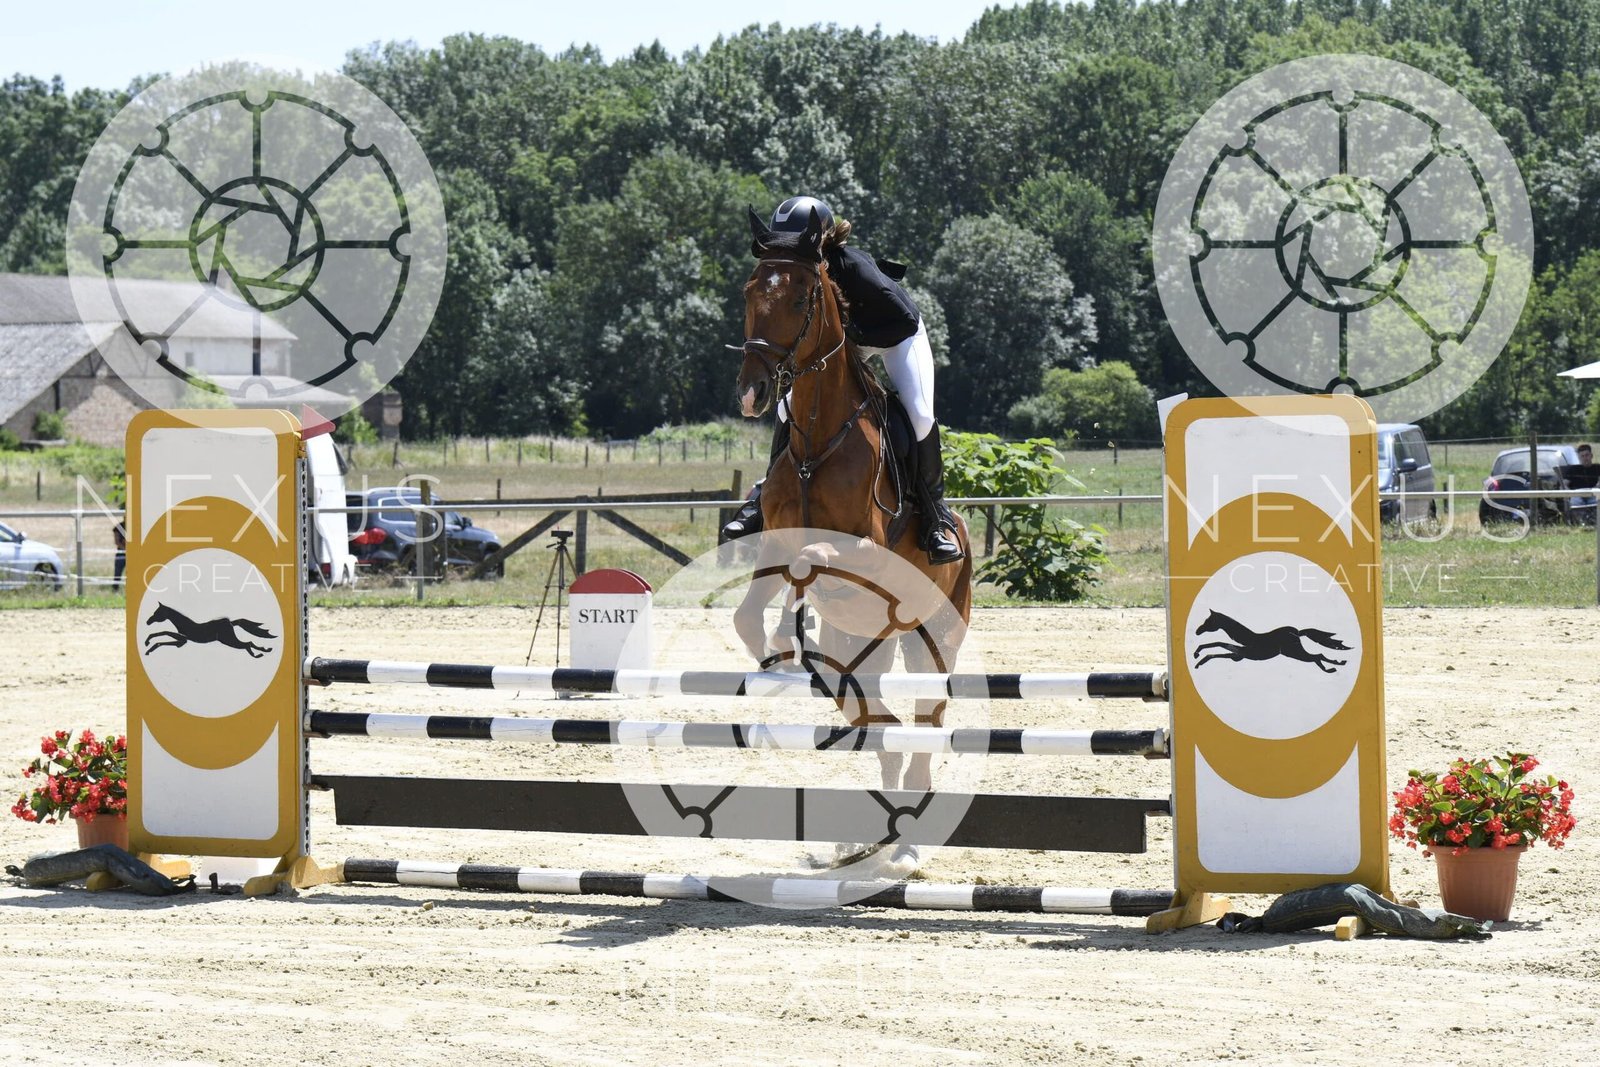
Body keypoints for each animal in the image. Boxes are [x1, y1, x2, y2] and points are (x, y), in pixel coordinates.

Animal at [143, 604, 278, 659]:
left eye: (157, 613)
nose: (148, 622)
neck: (184, 624)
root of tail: (230, 622)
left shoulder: (182, 640)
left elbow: (163, 635)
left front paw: (148, 647)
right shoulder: (181, 641)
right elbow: (163, 633)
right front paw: (147, 644)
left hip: (228, 640)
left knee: (247, 644)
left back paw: (257, 655)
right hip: (229, 640)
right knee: (249, 643)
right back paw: (266, 650)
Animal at [1190, 609, 1349, 673]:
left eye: (1209, 621)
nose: (1197, 631)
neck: (1247, 638)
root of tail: (1297, 632)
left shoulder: (1240, 653)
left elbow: (1216, 649)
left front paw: (1198, 660)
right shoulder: (1238, 655)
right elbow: (1217, 645)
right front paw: (1196, 656)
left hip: (1295, 653)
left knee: (1317, 656)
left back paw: (1332, 668)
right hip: (1295, 653)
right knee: (1318, 656)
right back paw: (1338, 664)